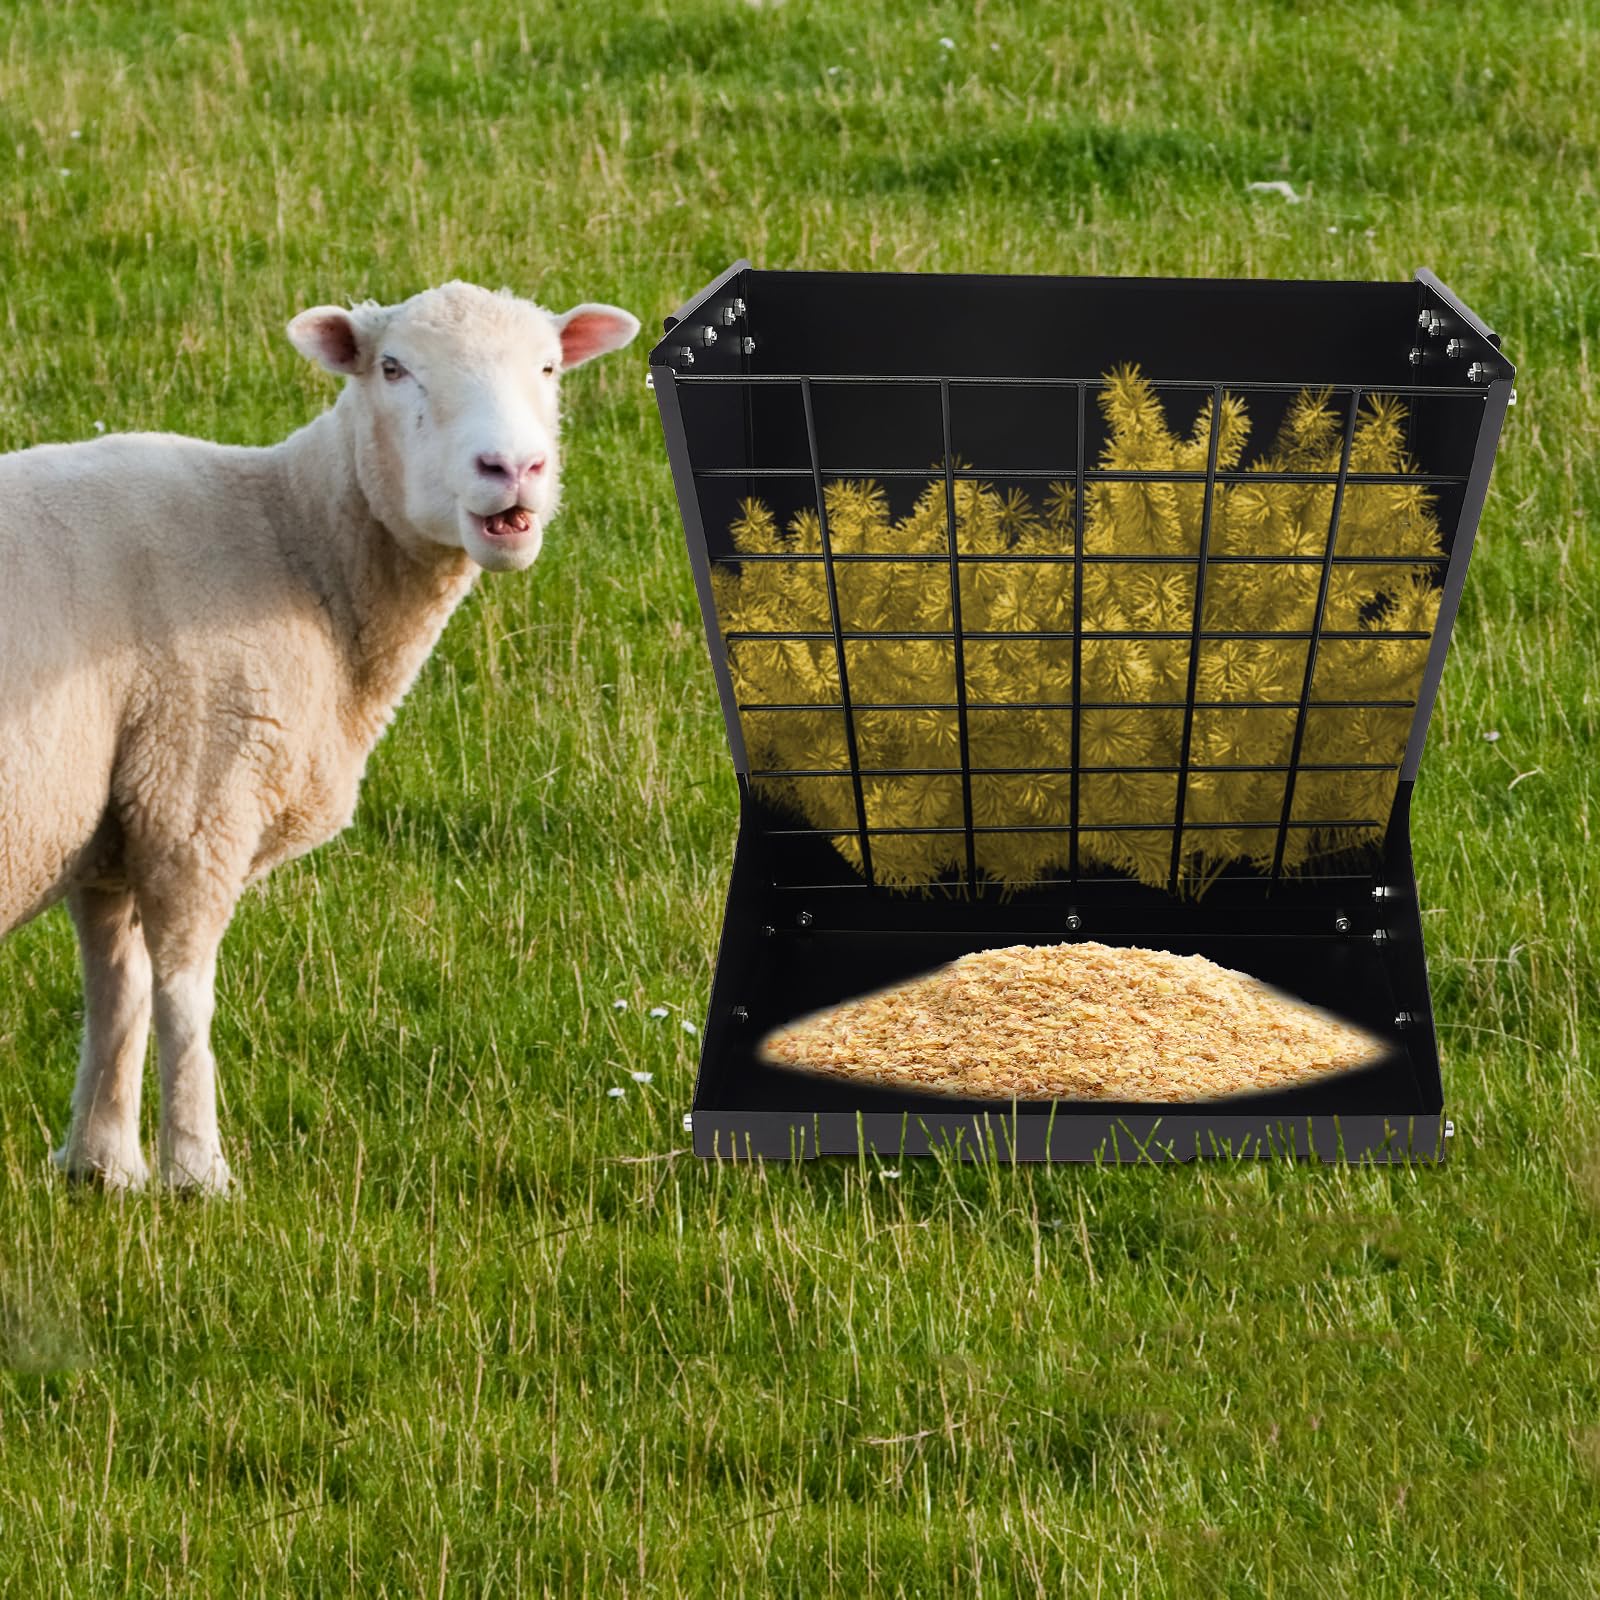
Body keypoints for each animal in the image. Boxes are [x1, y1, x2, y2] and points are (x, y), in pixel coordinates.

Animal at [0, 281, 640, 1192]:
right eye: (394, 367)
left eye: (550, 367)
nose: (513, 469)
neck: (291, 544)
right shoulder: (196, 799)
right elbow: (182, 993)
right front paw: (197, 1174)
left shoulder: (117, 817)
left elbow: (116, 989)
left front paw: (101, 1166)